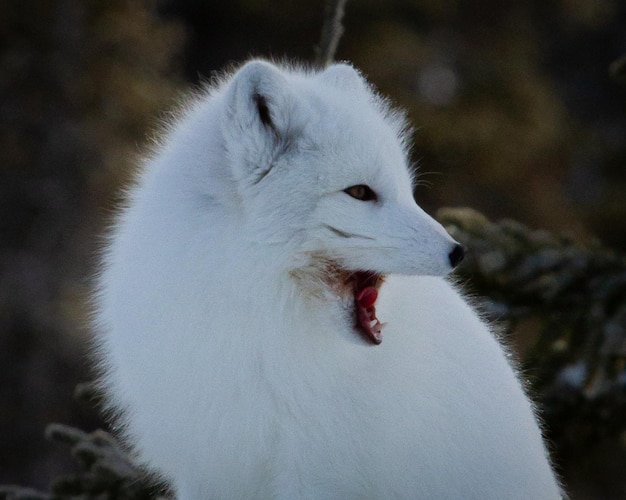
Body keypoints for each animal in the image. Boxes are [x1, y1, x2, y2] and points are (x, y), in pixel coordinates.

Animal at [95, 60, 564, 498]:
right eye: (359, 193)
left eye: (406, 190)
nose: (458, 252)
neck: (255, 325)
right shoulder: (207, 468)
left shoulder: (315, 477)